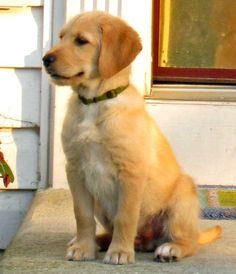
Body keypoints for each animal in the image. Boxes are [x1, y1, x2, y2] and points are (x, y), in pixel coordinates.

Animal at [43, 11, 222, 266]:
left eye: (81, 41)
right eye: (61, 37)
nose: (45, 59)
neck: (95, 102)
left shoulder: (130, 171)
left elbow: (125, 216)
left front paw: (119, 252)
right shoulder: (75, 168)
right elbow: (82, 214)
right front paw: (83, 247)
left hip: (182, 197)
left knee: (189, 241)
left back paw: (170, 249)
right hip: (100, 203)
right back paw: (100, 240)